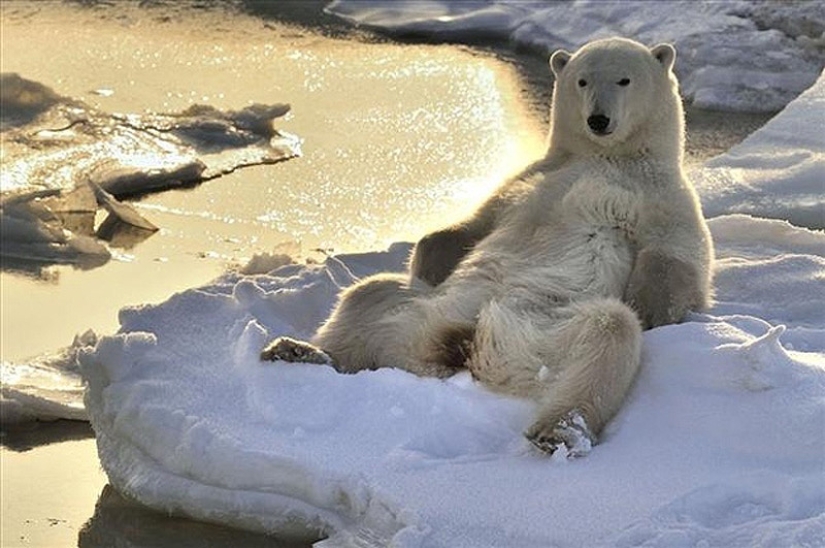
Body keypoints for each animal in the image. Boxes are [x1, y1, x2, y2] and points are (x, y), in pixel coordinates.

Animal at [261, 37, 714, 455]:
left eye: (624, 79)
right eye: (583, 80)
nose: (598, 120)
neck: (607, 159)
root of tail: (466, 347)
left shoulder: (662, 195)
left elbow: (678, 258)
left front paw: (651, 309)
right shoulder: (531, 177)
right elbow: (474, 224)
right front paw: (430, 259)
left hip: (544, 331)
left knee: (608, 331)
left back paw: (561, 430)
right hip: (426, 310)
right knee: (369, 294)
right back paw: (298, 350)